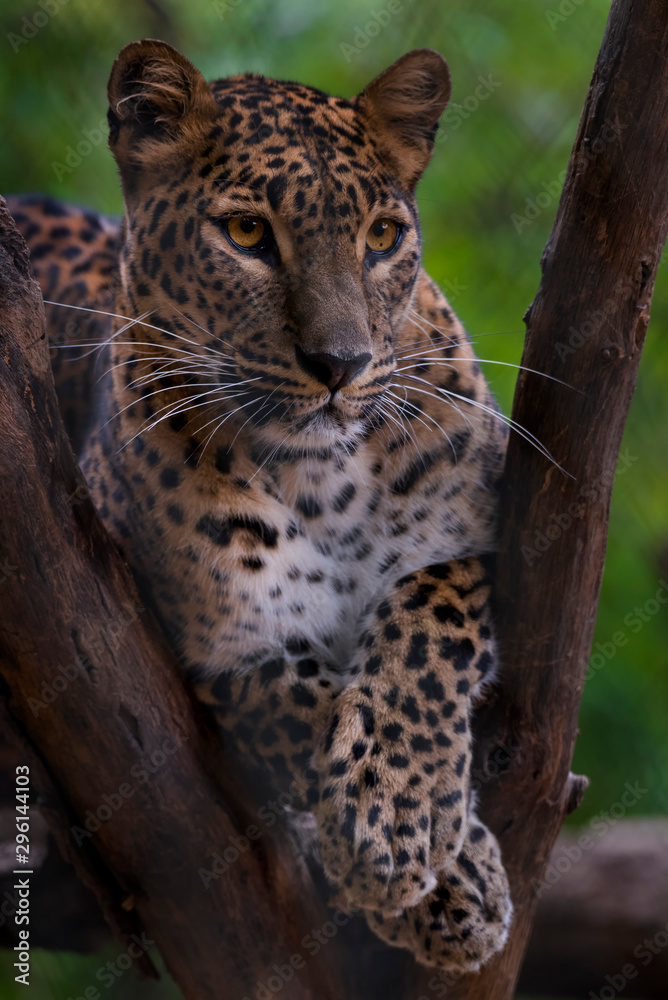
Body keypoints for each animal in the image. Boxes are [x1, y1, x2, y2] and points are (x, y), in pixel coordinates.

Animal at [8, 39, 513, 972]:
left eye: (383, 238)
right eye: (247, 234)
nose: (342, 364)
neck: (327, 478)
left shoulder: (474, 543)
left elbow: (428, 630)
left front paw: (405, 814)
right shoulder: (216, 646)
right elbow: (301, 706)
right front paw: (437, 865)